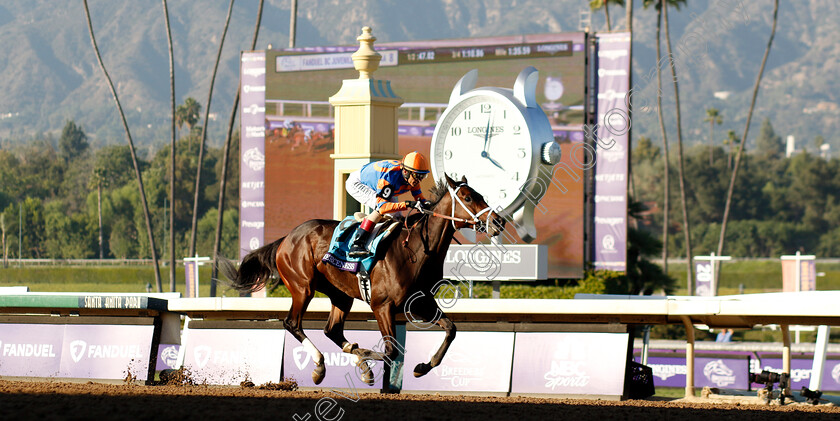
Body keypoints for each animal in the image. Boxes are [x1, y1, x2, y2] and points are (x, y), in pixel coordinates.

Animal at [220, 174, 502, 384]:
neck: (416, 251)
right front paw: (366, 356)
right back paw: (321, 365)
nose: (498, 221)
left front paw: (422, 366)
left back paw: (354, 362)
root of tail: (287, 238)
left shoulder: (420, 303)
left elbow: (450, 329)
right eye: (468, 197)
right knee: (292, 323)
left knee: (332, 330)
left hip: (340, 294)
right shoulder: (382, 306)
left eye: (481, 195)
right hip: (303, 287)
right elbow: (391, 350)